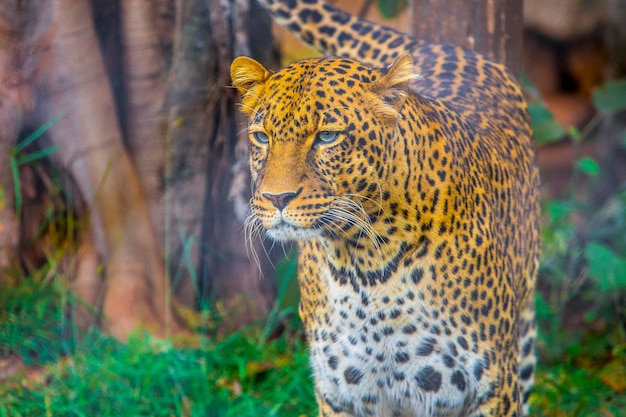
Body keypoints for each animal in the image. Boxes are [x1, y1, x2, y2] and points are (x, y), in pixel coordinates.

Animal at [228, 1, 536, 414]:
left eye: (327, 137)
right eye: (262, 137)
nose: (277, 198)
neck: (365, 265)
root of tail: (444, 47)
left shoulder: (492, 388)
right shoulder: (343, 394)